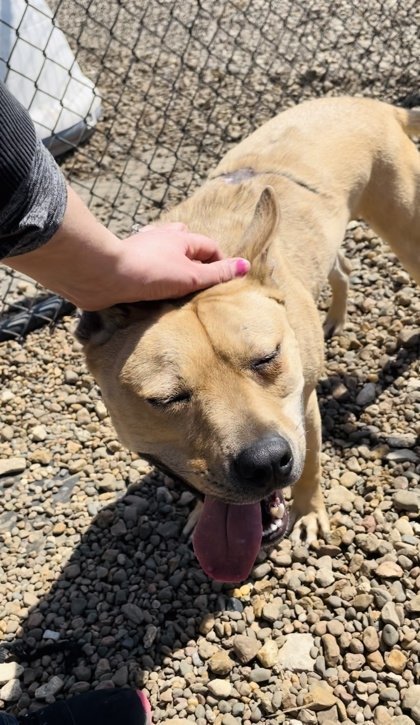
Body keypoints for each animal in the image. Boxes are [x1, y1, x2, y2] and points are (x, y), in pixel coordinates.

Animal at [76, 96, 420, 584]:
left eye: (267, 357)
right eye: (165, 400)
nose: (265, 463)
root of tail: (374, 103)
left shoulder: (305, 409)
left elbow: (312, 465)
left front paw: (310, 514)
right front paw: (200, 513)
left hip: (406, 229)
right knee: (343, 267)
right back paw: (334, 318)